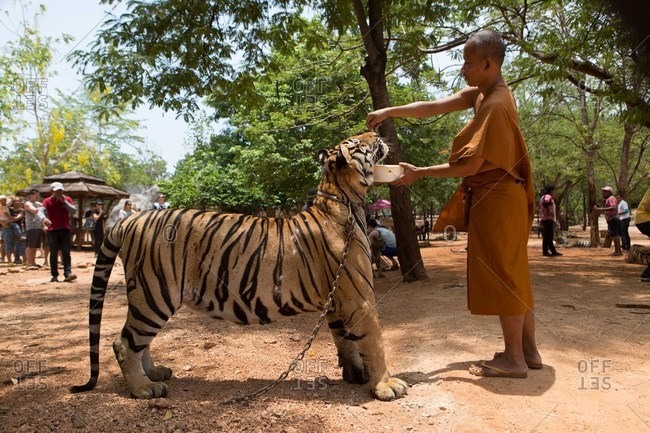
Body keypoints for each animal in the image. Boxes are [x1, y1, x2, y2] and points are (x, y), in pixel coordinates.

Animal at [70, 132, 408, 401]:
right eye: (359, 141)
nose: (376, 132)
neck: (344, 199)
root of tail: (131, 219)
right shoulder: (358, 297)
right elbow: (375, 341)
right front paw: (386, 385)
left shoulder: (338, 299)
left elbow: (346, 340)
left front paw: (356, 375)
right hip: (154, 293)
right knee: (124, 343)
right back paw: (143, 388)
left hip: (150, 298)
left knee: (139, 342)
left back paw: (154, 374)